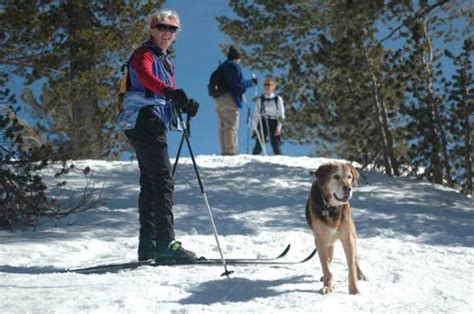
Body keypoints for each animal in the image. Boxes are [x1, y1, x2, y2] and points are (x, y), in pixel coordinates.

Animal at [306, 162, 368, 294]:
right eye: (336, 176)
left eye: (349, 177)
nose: (348, 188)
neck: (331, 208)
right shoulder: (321, 240)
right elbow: (326, 266)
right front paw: (328, 286)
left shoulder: (348, 239)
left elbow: (351, 267)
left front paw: (354, 289)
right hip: (328, 241)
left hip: (352, 234)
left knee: (355, 258)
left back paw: (361, 274)